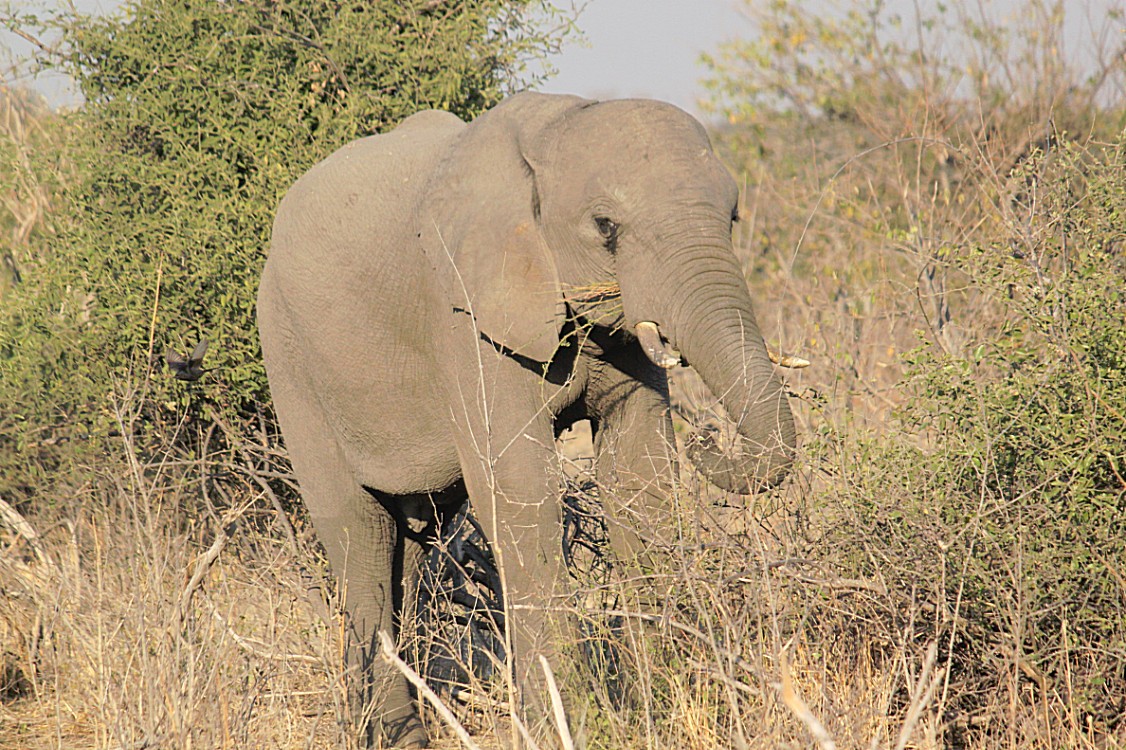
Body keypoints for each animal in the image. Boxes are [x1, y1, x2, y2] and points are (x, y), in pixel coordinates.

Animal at [257, 90, 801, 743]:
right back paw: (401, 738)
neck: (552, 129)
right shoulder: (462, 313)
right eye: (605, 227)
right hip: (291, 363)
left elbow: (640, 478)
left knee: (411, 542)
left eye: (733, 218)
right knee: (360, 538)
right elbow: (521, 495)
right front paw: (570, 728)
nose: (708, 437)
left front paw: (661, 708)